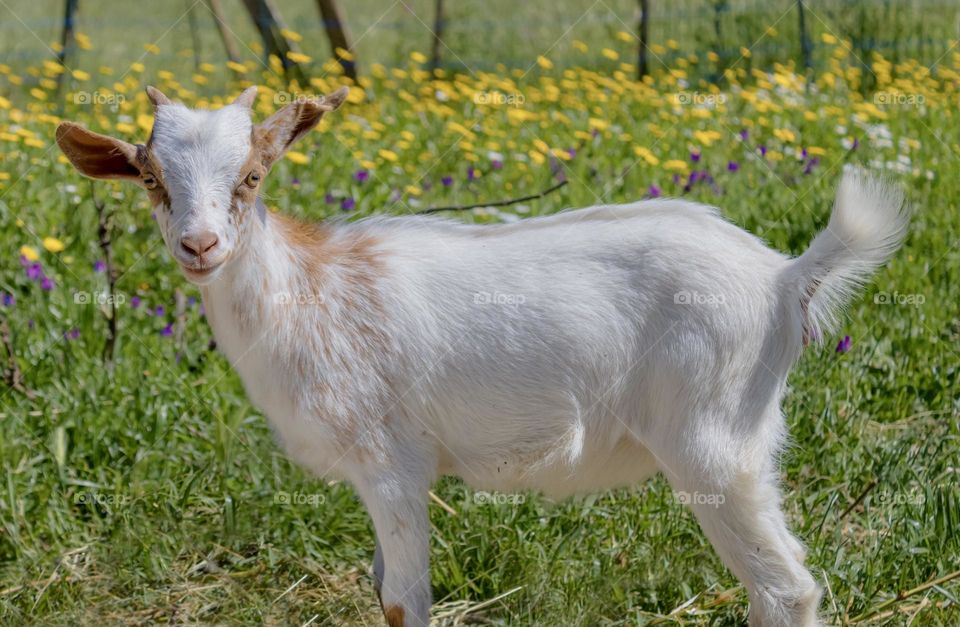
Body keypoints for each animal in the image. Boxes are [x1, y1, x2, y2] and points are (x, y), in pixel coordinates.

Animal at [56, 86, 912, 624]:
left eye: (253, 175)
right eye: (151, 179)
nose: (200, 246)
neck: (310, 291)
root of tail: (783, 276)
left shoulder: (392, 462)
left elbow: (403, 600)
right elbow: (381, 587)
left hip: (714, 443)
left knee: (786, 588)